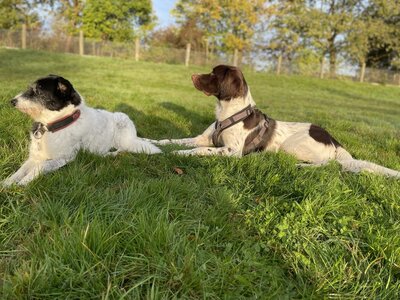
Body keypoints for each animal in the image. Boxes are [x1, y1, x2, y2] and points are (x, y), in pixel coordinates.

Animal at [2, 74, 161, 185]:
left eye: (38, 91)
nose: (12, 101)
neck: (53, 126)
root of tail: (134, 135)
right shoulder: (34, 157)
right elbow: (19, 171)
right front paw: (7, 183)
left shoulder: (64, 157)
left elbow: (40, 167)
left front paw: (23, 182)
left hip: (124, 133)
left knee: (123, 149)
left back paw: (112, 154)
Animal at [151, 64, 400, 177]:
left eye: (213, 74)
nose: (192, 75)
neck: (228, 113)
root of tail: (333, 139)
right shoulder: (203, 138)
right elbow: (172, 139)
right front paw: (154, 142)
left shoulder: (231, 151)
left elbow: (196, 151)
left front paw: (179, 154)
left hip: (291, 146)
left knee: (328, 164)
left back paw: (300, 165)